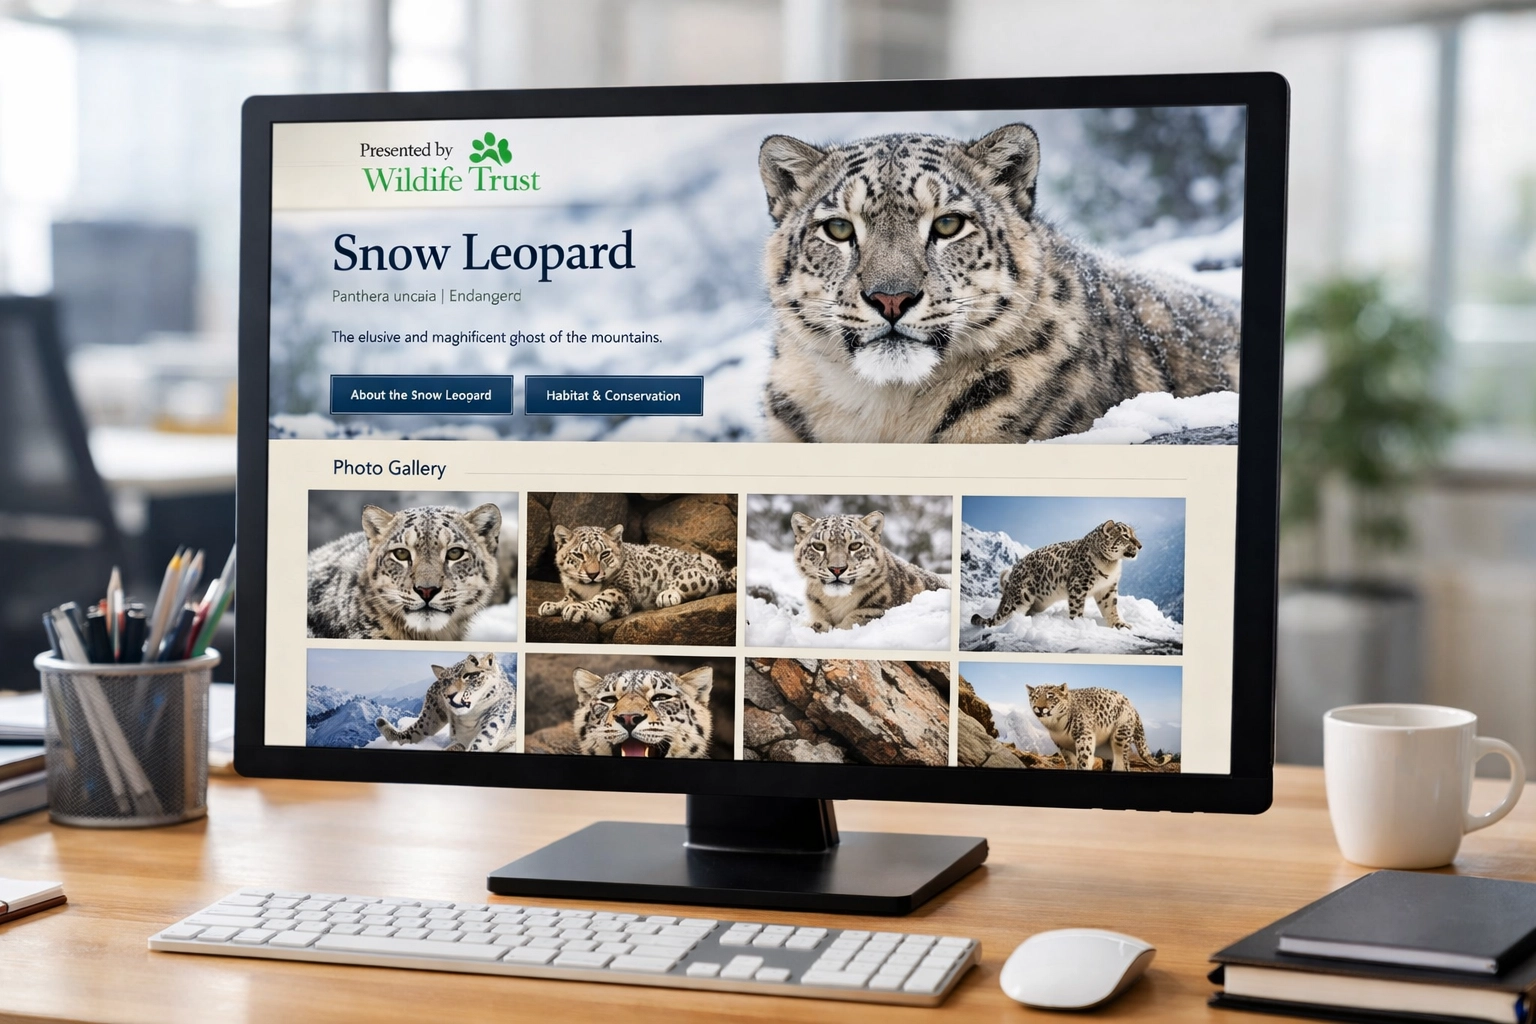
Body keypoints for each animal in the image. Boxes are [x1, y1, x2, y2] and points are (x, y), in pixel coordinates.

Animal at [374, 652, 517, 752]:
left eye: (469, 676)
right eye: (446, 681)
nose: (449, 695)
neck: (469, 718)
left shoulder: (491, 727)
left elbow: (478, 744)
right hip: (431, 715)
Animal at [537, 524, 736, 626]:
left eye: (604, 554)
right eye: (579, 555)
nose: (593, 574)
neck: (586, 589)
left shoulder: (620, 591)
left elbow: (600, 600)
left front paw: (576, 609)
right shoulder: (573, 591)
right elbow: (568, 598)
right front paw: (551, 605)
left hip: (696, 573)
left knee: (702, 580)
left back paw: (667, 595)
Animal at [791, 510, 949, 632]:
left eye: (855, 545)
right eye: (819, 546)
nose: (837, 569)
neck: (836, 601)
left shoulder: (879, 608)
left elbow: (860, 616)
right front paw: (815, 625)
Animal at [971, 520, 1141, 630]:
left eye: (1134, 534)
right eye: (1126, 536)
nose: (1140, 545)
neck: (1110, 565)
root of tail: (1012, 574)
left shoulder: (1107, 588)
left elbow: (1110, 607)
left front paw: (1119, 624)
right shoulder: (1079, 586)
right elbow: (1077, 608)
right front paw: (1079, 624)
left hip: (1038, 604)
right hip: (1018, 600)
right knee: (1000, 618)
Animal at [1027, 682, 1169, 771]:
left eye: (1050, 696)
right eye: (1034, 697)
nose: (1039, 708)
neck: (1055, 726)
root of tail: (1132, 706)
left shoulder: (1084, 736)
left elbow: (1084, 758)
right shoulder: (1062, 745)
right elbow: (1070, 761)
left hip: (1120, 736)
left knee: (1123, 762)